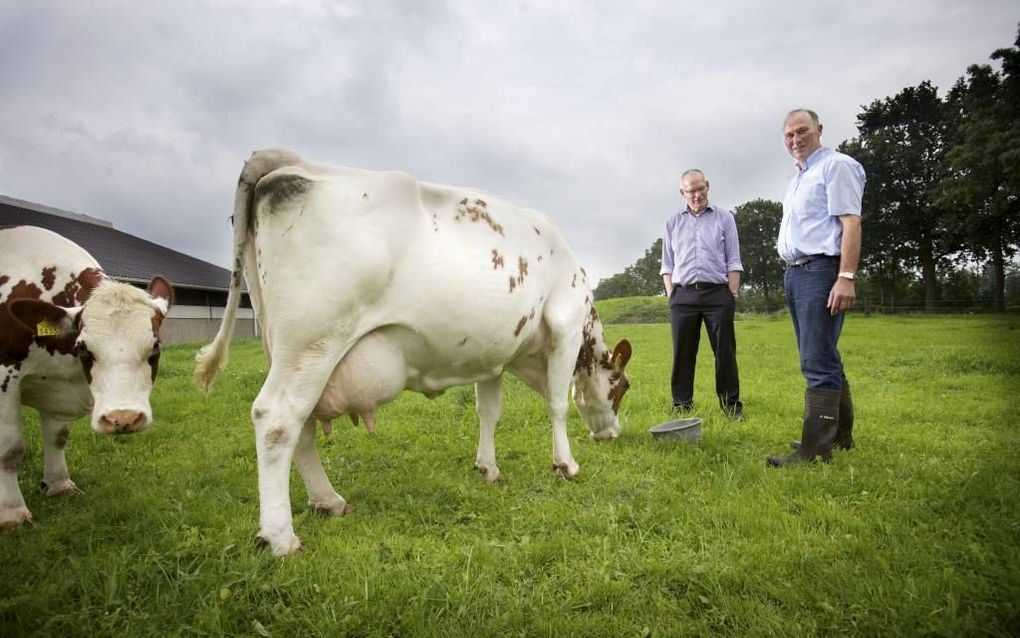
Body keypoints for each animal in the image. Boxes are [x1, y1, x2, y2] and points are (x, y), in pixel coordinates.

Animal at [0, 223, 173, 526]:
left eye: (155, 346)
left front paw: (59, 485)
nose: (123, 419)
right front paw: (12, 514)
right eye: (83, 348)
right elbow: (10, 448)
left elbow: (58, 436)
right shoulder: (4, 375)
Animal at [192, 148, 628, 551]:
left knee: (304, 426)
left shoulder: (492, 355)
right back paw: (281, 537)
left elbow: (489, 412)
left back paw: (328, 500)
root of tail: (292, 163)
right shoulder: (566, 327)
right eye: (622, 386)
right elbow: (558, 404)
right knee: (277, 420)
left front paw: (487, 468)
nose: (613, 434)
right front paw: (566, 464)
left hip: (287, 350)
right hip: (312, 343)